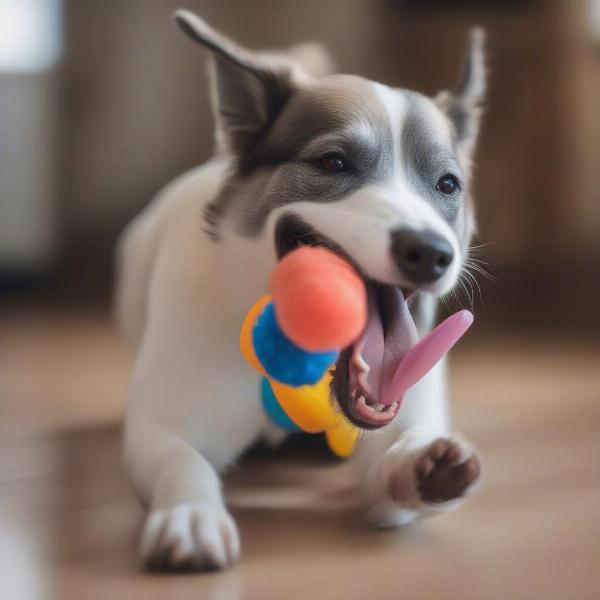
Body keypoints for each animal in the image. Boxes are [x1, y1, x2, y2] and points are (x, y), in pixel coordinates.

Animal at [116, 10, 488, 572]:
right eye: (333, 163)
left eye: (447, 185)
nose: (429, 253)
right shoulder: (164, 424)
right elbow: (179, 458)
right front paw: (191, 512)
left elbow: (391, 467)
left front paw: (422, 465)